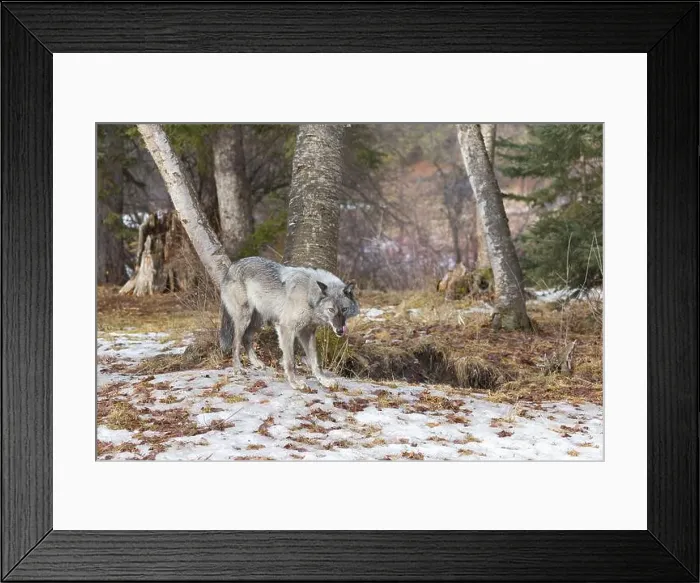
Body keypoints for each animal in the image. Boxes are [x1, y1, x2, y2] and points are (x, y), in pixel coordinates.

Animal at [219, 257, 360, 389]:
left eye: (344, 309)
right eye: (331, 310)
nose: (340, 330)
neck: (308, 295)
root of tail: (232, 266)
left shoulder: (307, 332)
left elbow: (316, 362)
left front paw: (324, 380)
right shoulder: (286, 328)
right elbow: (290, 361)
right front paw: (295, 383)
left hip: (258, 321)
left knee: (246, 338)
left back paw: (256, 362)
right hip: (245, 319)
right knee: (235, 343)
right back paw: (238, 369)